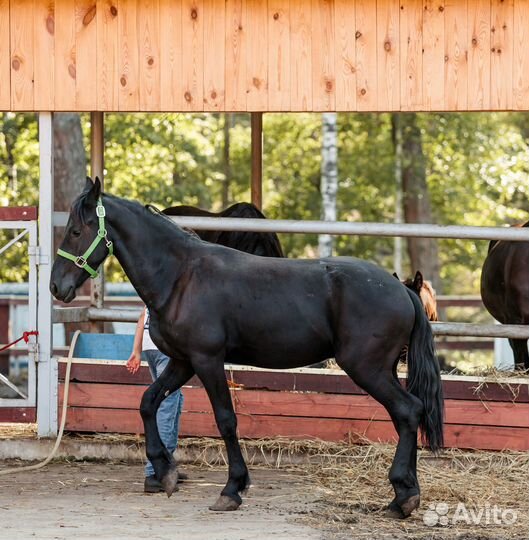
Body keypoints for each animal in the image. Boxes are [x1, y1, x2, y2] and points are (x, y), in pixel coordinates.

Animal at [51, 180, 444, 520]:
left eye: (76, 231)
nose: (57, 286)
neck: (181, 276)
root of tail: (400, 289)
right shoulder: (182, 362)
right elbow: (148, 403)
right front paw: (165, 470)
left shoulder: (207, 361)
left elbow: (226, 420)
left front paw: (232, 489)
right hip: (382, 370)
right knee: (407, 414)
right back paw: (403, 495)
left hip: (368, 369)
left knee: (408, 411)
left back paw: (404, 496)